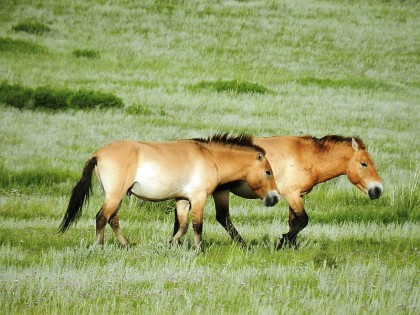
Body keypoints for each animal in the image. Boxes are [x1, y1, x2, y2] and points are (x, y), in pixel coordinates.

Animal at [59, 132, 278, 251]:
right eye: (268, 172)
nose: (274, 198)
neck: (210, 157)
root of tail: (98, 154)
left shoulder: (183, 199)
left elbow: (183, 225)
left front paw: (170, 244)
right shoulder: (198, 197)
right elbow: (197, 225)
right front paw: (199, 249)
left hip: (119, 196)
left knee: (113, 219)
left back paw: (126, 245)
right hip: (115, 195)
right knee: (102, 218)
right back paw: (100, 247)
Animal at [208, 135, 382, 249]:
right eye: (364, 164)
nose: (378, 190)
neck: (308, 157)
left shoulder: (298, 195)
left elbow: (294, 222)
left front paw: (291, 247)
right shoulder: (291, 194)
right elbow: (303, 220)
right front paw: (282, 241)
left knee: (223, 218)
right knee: (224, 218)